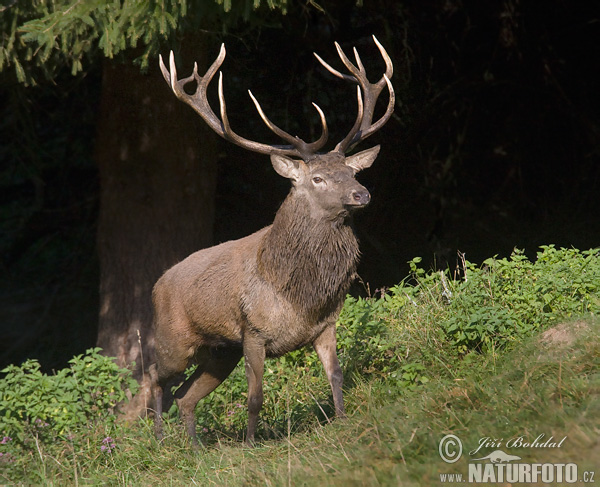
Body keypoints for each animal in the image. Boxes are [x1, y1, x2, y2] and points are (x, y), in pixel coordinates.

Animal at [150, 34, 394, 448]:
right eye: (317, 179)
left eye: (351, 170)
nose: (362, 194)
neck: (299, 295)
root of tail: (156, 285)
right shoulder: (253, 332)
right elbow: (255, 396)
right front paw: (250, 443)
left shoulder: (326, 324)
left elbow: (336, 375)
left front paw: (343, 420)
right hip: (174, 341)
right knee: (155, 379)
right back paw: (157, 441)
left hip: (219, 352)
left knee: (185, 396)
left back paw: (194, 449)